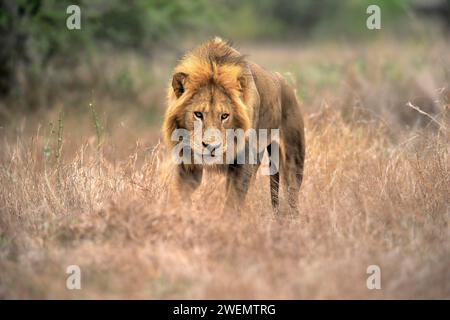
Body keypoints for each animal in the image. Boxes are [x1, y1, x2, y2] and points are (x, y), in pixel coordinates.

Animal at [162, 38, 306, 216]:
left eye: (224, 116)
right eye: (198, 114)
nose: (211, 146)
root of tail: (284, 83)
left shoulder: (242, 163)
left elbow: (232, 202)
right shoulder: (187, 163)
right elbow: (180, 196)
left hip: (293, 157)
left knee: (291, 191)